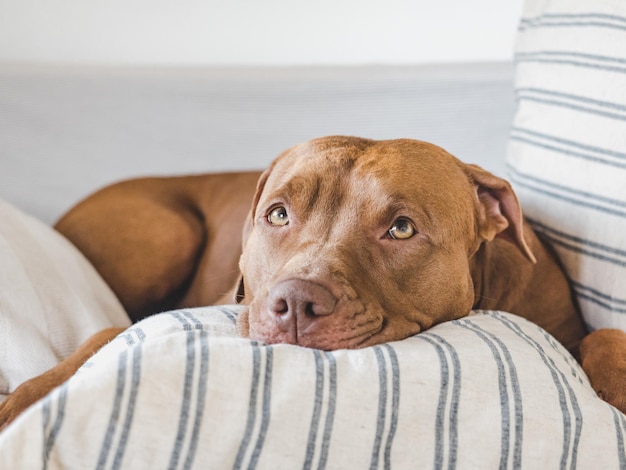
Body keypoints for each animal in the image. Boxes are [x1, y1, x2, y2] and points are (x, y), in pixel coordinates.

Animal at [0, 135, 620, 430]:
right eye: (278, 215)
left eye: (401, 227)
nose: (294, 301)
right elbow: (106, 335)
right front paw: (24, 399)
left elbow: (604, 336)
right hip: (165, 232)